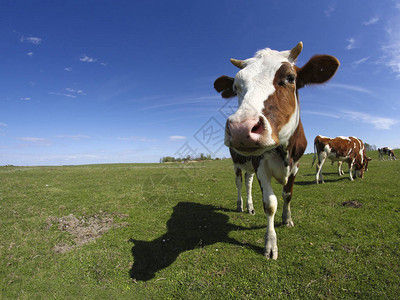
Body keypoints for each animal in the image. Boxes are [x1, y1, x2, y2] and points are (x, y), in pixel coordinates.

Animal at [214, 41, 340, 258]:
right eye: (236, 86)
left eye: (290, 78)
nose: (241, 129)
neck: (284, 151)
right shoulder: (261, 167)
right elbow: (270, 203)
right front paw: (270, 244)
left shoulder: (296, 165)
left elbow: (288, 195)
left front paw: (287, 219)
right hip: (237, 163)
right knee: (239, 184)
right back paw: (240, 205)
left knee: (248, 183)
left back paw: (250, 207)